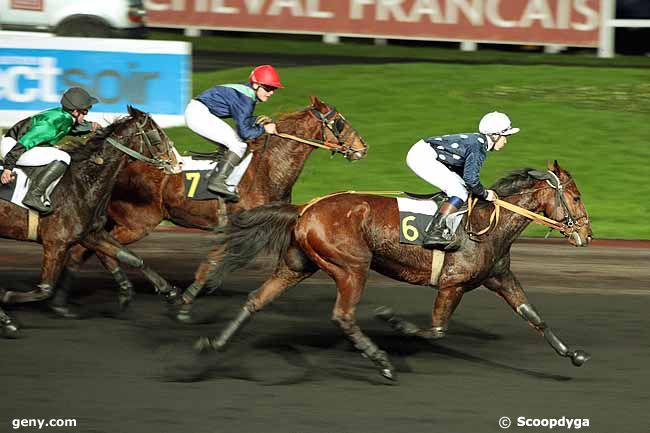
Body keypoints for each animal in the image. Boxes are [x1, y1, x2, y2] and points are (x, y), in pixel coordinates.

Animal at [0, 106, 180, 336]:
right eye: (156, 134)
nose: (178, 162)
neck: (83, 183)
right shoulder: (55, 243)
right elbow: (45, 289)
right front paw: (6, 296)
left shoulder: (91, 234)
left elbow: (132, 257)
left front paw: (170, 292)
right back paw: (7, 320)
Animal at [67, 95, 368, 310]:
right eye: (340, 122)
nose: (363, 148)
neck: (267, 168)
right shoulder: (239, 227)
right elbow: (212, 262)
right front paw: (186, 297)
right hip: (137, 222)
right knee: (97, 247)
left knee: (91, 248)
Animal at [191, 161, 588, 378]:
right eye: (576, 196)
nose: (586, 234)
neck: (489, 223)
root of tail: (305, 208)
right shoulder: (453, 284)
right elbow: (436, 330)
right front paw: (394, 321)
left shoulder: (499, 277)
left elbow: (534, 317)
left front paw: (573, 355)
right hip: (352, 265)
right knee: (343, 315)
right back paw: (382, 361)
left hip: (297, 265)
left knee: (256, 299)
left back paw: (215, 343)